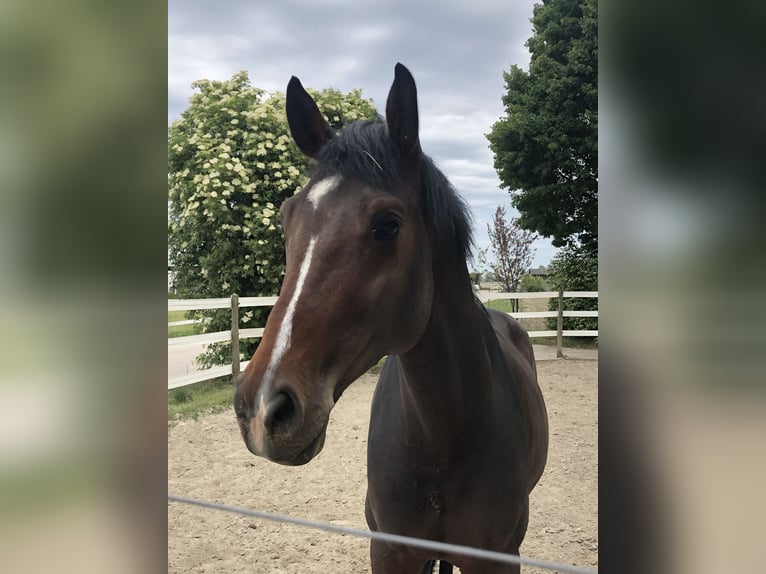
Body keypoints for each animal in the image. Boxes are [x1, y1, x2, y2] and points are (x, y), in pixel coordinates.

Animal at [231, 64, 548, 574]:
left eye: (388, 224)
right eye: (286, 217)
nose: (262, 408)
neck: (444, 435)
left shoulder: (498, 558)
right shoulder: (389, 551)